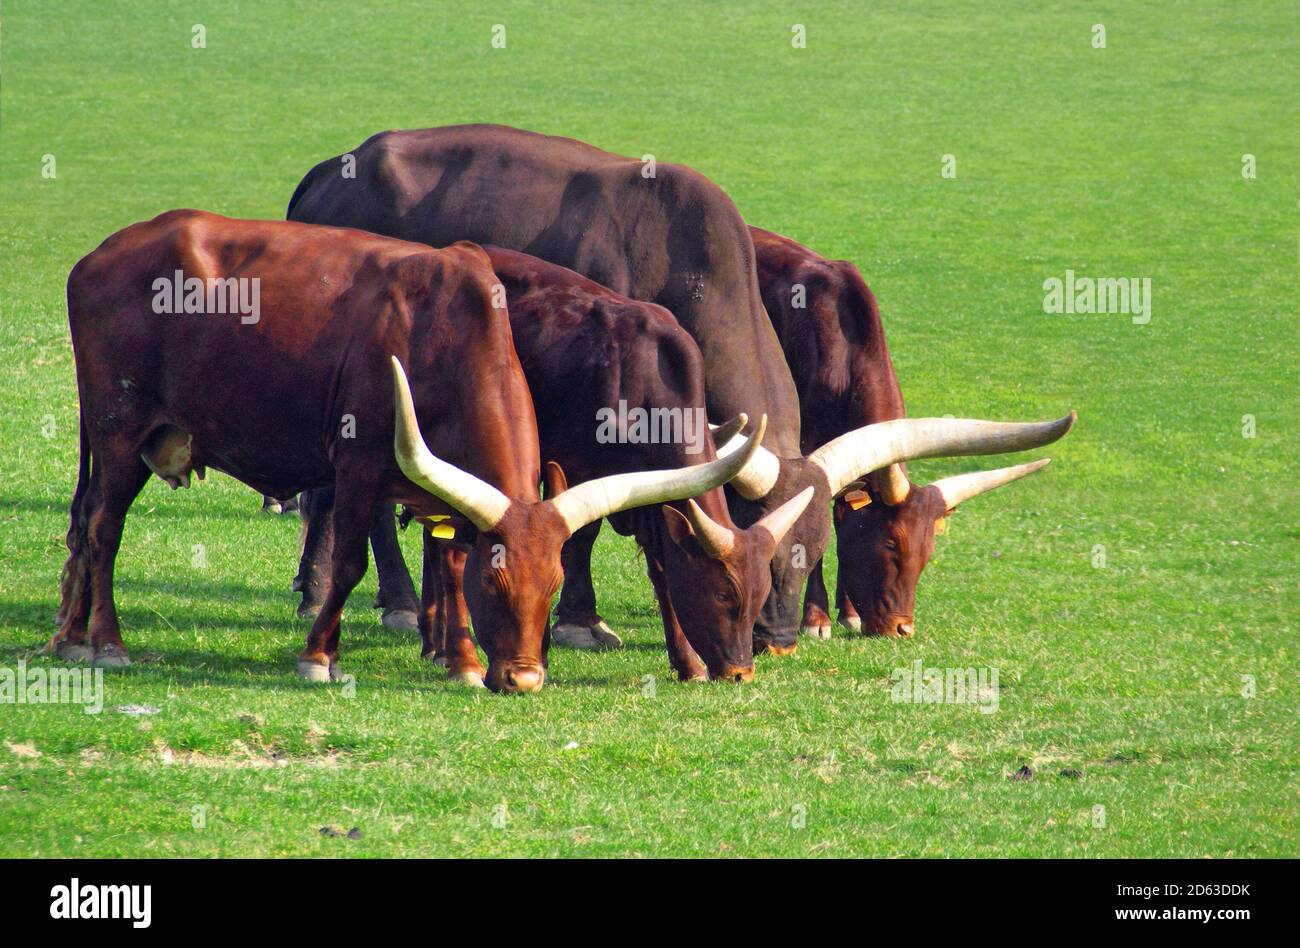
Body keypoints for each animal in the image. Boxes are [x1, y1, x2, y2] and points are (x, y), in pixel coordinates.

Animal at [50, 210, 759, 691]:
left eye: (554, 584)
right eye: (497, 583)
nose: (526, 679)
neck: (443, 334)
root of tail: (99, 255)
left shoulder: (445, 488)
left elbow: (448, 560)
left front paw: (462, 661)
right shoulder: (357, 467)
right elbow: (349, 565)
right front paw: (319, 656)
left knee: (82, 526)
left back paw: (70, 637)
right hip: (119, 433)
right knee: (103, 527)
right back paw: (106, 643)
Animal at [754, 223, 1066, 637]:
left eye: (928, 551)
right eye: (890, 543)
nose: (902, 629)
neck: (843, 354)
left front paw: (848, 612)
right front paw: (816, 619)